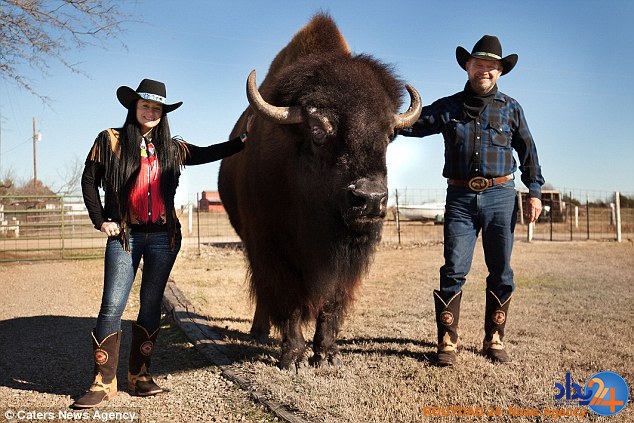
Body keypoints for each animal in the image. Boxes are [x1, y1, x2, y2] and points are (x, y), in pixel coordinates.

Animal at [217, 14, 420, 372]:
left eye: (389, 134)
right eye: (318, 128)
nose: (369, 199)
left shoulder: (348, 258)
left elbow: (332, 301)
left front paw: (326, 354)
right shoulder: (271, 247)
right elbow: (288, 300)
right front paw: (294, 357)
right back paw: (259, 331)